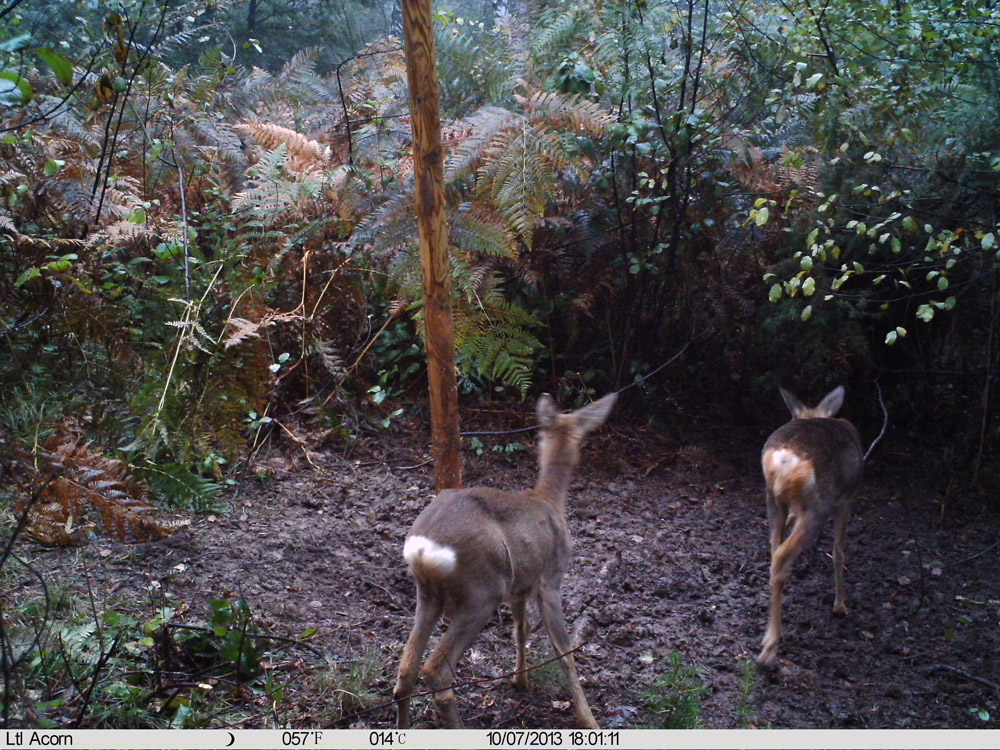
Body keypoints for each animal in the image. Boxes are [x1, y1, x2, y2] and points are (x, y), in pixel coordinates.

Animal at [393, 392, 617, 729]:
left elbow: (520, 629)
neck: (549, 500)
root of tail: (424, 548)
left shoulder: (519, 587)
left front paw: (520, 681)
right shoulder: (550, 579)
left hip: (429, 592)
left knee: (405, 671)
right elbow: (564, 652)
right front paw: (589, 719)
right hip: (481, 590)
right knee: (436, 670)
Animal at [757, 385, 863, 668]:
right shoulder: (845, 500)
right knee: (782, 557)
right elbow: (838, 552)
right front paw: (840, 605)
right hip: (818, 507)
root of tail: (786, 460)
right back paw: (769, 650)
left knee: (774, 552)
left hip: (774, 499)